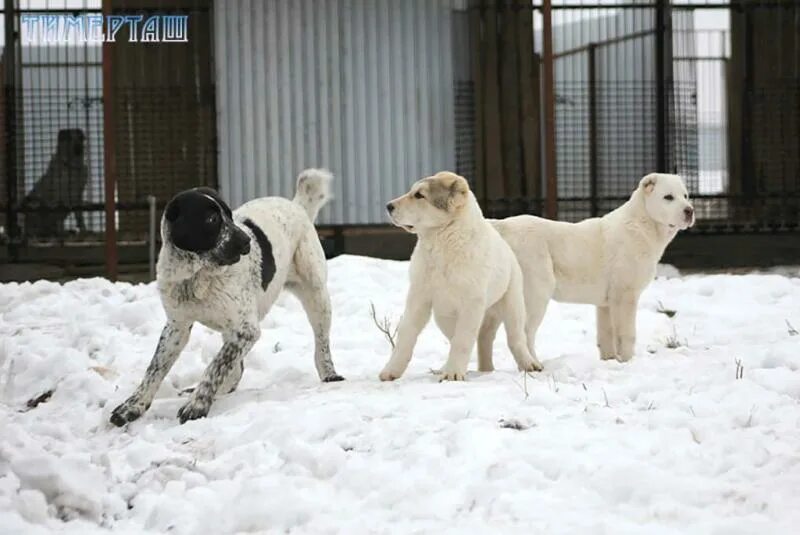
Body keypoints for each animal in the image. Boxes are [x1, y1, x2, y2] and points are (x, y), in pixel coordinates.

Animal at [108, 169, 340, 428]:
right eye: (211, 220)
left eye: (229, 216)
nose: (247, 241)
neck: (197, 275)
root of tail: (295, 205)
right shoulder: (177, 327)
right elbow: (155, 369)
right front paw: (132, 407)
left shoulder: (246, 329)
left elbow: (215, 366)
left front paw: (197, 405)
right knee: (235, 367)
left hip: (316, 296)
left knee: (321, 343)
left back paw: (330, 374)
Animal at [376, 171, 540, 382]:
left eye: (419, 195)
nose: (388, 206)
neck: (442, 244)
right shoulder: (419, 297)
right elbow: (407, 334)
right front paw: (391, 371)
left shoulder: (471, 303)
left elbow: (462, 340)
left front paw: (453, 373)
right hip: (443, 316)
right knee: (471, 338)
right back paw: (478, 369)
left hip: (513, 303)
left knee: (515, 337)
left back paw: (529, 363)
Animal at [484, 174, 696, 366]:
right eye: (668, 197)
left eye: (685, 196)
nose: (689, 211)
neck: (642, 225)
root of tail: (502, 226)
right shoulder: (625, 296)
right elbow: (626, 333)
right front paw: (628, 361)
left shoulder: (606, 304)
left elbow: (606, 336)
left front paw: (610, 361)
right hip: (535, 294)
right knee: (525, 332)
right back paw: (534, 365)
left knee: (487, 332)